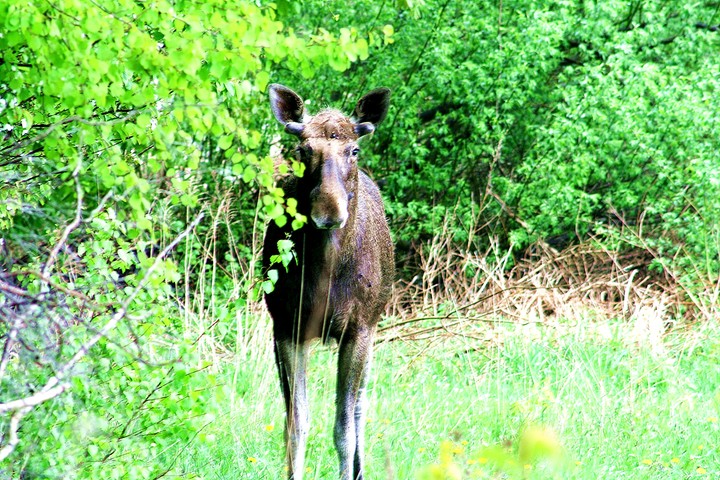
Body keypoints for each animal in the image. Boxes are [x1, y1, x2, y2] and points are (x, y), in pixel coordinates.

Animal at [262, 83, 394, 480]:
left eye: (354, 149)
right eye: (303, 150)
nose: (329, 211)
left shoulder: (358, 329)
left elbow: (343, 428)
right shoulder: (286, 327)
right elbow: (295, 423)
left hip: (373, 326)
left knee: (360, 406)